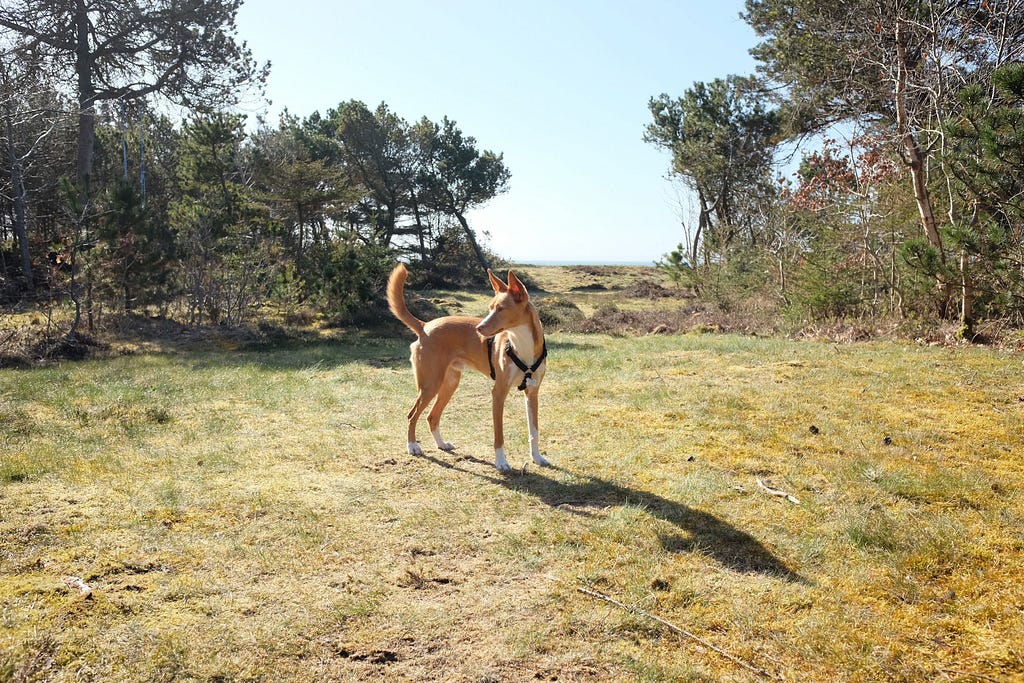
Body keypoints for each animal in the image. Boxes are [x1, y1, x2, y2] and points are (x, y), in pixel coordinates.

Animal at [385, 264, 552, 473]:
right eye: (490, 308)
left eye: (500, 309)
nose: (479, 328)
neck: (521, 345)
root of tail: (425, 325)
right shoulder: (498, 393)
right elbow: (499, 435)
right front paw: (501, 462)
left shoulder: (532, 392)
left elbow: (534, 431)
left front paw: (537, 458)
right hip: (430, 385)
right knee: (412, 415)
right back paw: (413, 446)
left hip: (449, 383)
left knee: (432, 416)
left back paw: (441, 444)